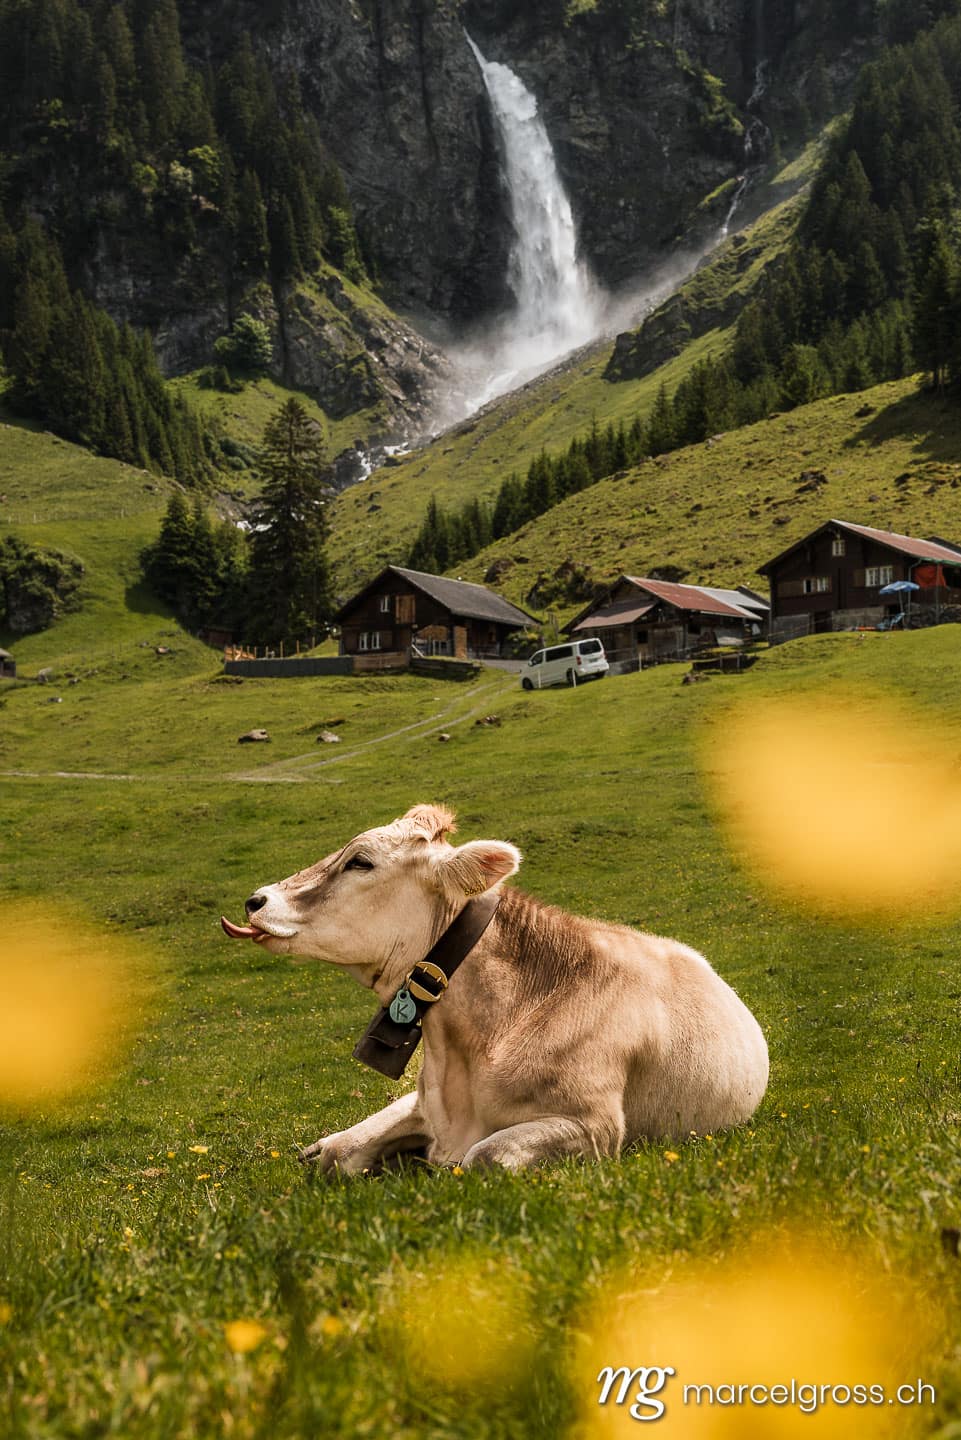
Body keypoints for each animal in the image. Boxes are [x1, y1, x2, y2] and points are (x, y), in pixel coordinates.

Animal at [220, 804, 768, 1172]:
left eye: (360, 861)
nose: (255, 901)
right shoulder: (427, 1107)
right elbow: (341, 1154)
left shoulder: (597, 1128)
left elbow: (485, 1155)